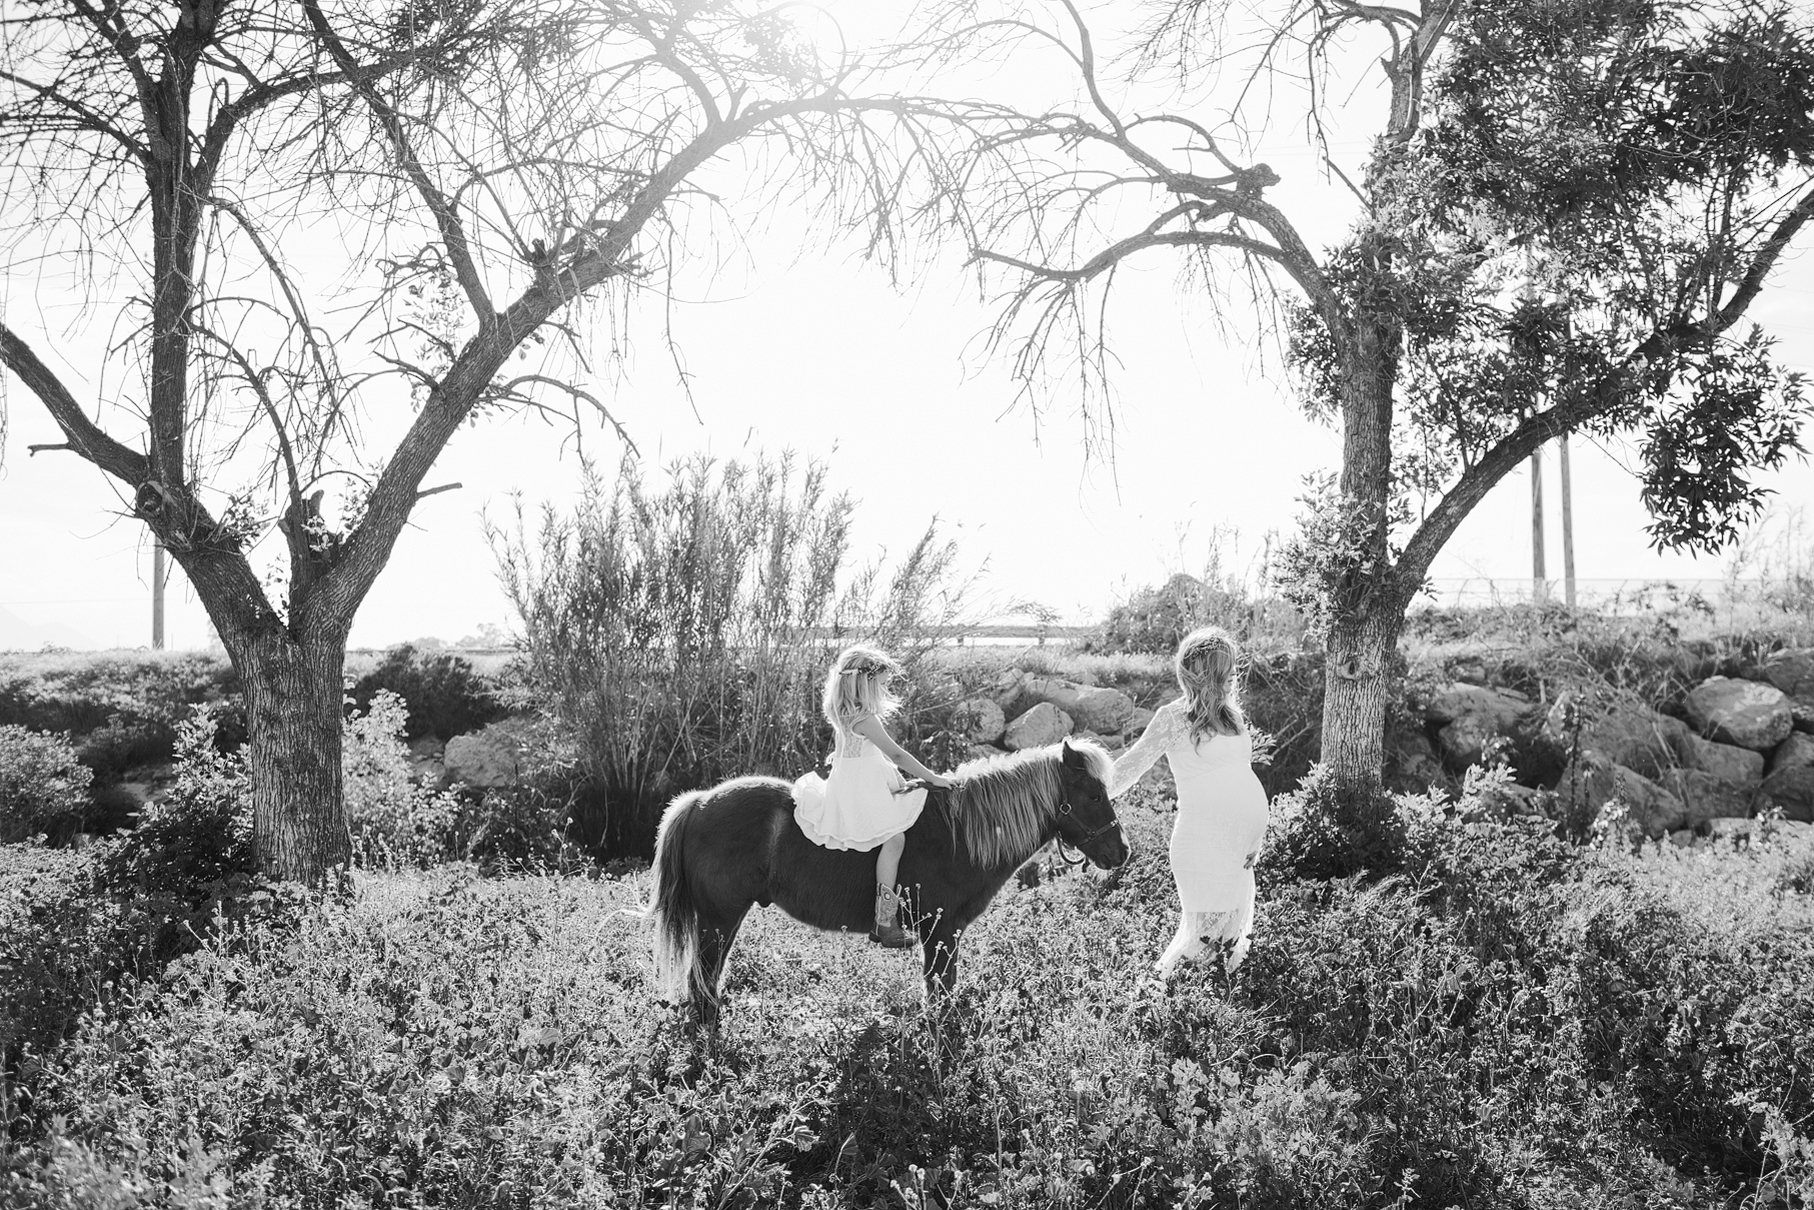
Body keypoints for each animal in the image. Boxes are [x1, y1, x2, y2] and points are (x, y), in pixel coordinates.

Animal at [645, 740, 1124, 1030]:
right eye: (1094, 795)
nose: (1121, 853)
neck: (960, 834)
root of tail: (698, 802)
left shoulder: (944, 934)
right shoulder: (941, 931)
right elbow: (940, 994)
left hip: (721, 922)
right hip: (718, 921)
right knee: (702, 986)